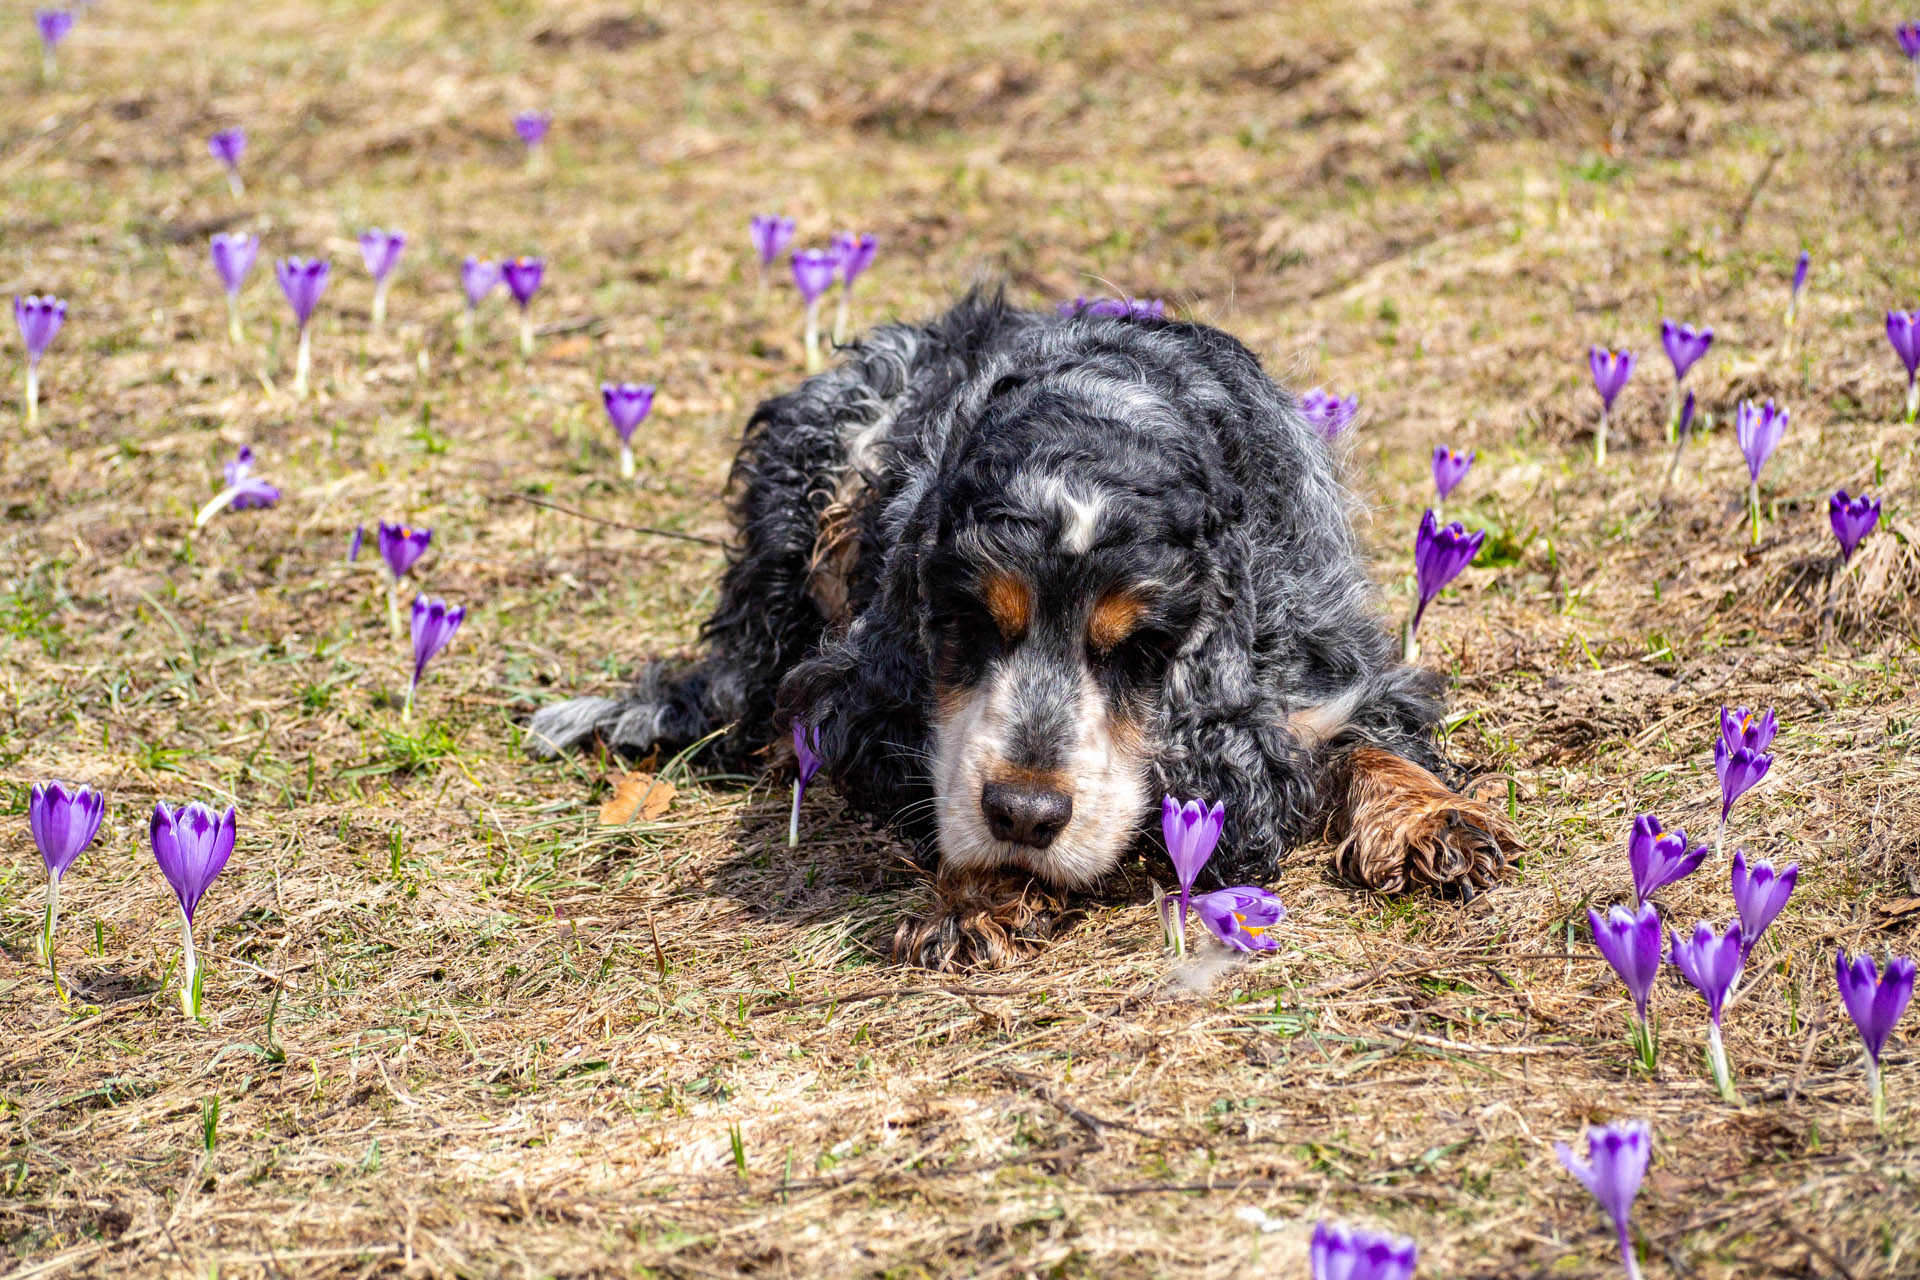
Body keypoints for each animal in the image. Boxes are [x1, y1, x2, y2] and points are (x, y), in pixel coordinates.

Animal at [526, 289, 1512, 971]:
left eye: (1140, 648)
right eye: (972, 624)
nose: (1027, 817)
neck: (1108, 414)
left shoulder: (1324, 650)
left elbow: (1369, 737)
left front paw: (1438, 821)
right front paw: (980, 894)